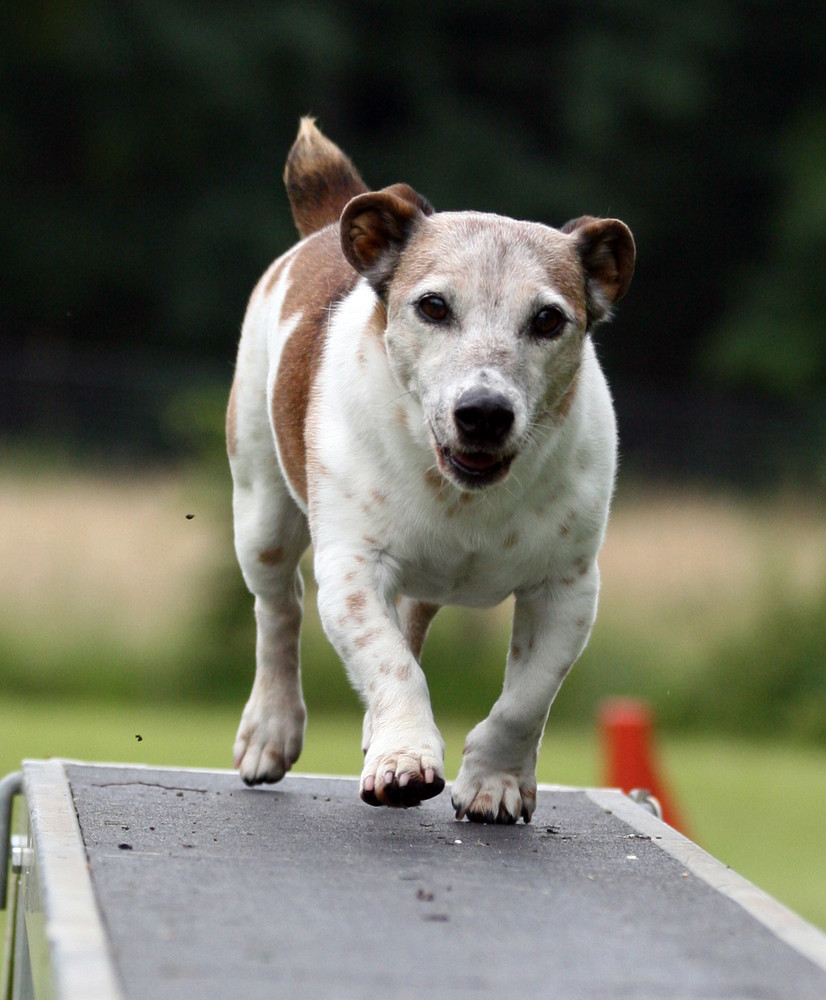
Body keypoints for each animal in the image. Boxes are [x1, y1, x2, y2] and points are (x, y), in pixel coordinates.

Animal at [225, 119, 632, 820]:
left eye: (548, 318)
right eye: (434, 306)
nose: (484, 413)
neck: (464, 498)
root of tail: (326, 229)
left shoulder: (566, 589)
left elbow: (526, 699)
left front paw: (494, 781)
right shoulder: (354, 568)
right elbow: (391, 663)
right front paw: (406, 757)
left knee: (410, 619)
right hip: (261, 512)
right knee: (280, 611)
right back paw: (271, 729)